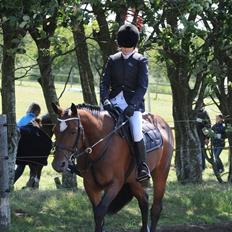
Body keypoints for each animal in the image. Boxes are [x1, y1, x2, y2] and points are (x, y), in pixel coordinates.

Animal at [51, 103, 174, 232]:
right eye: (54, 130)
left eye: (73, 131)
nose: (58, 164)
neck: (99, 145)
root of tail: (163, 123)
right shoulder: (90, 185)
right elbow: (97, 214)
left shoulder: (115, 184)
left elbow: (100, 211)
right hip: (132, 180)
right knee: (144, 200)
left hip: (161, 173)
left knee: (156, 208)